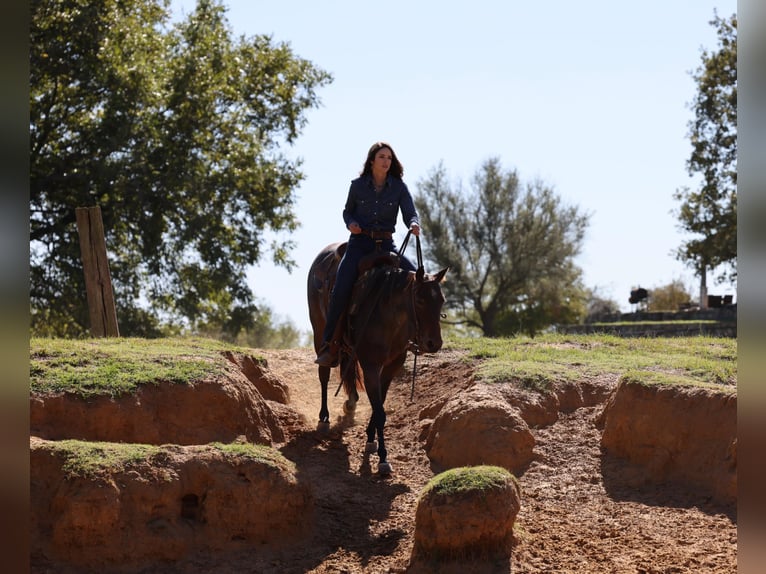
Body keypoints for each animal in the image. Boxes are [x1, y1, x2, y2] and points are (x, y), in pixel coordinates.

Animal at [308, 240, 450, 476]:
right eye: (419, 299)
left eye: (441, 300)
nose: (434, 343)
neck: (388, 314)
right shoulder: (371, 365)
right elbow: (380, 411)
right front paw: (383, 458)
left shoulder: (393, 365)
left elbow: (379, 405)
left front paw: (370, 440)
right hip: (319, 333)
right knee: (324, 374)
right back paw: (324, 419)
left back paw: (350, 403)